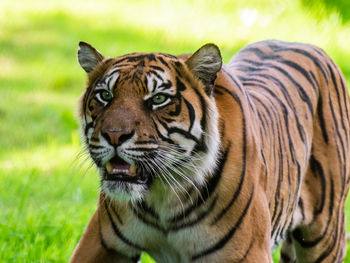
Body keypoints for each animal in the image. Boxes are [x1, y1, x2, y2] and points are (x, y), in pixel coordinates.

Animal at [69, 39, 348, 263]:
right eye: (105, 95)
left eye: (158, 99)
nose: (114, 135)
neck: (163, 197)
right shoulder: (100, 244)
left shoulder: (247, 254)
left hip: (324, 236)